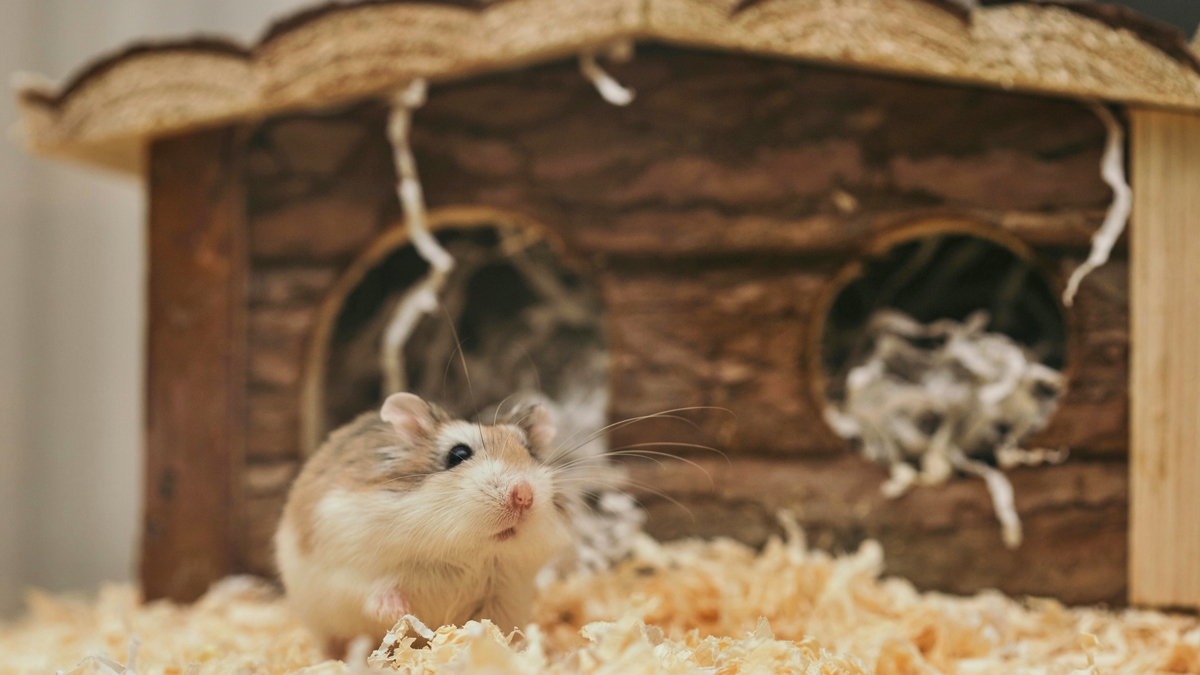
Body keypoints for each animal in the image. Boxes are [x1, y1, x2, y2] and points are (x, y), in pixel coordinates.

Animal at [274, 392, 574, 657]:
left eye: (530, 452)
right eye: (458, 454)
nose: (524, 495)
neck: (467, 553)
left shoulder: (504, 595)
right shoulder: (349, 566)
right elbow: (373, 590)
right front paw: (399, 612)